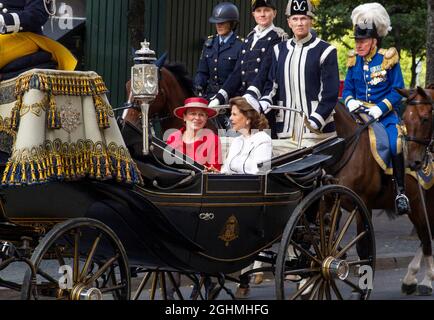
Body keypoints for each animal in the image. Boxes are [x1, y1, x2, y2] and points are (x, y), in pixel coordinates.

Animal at [330, 102, 432, 296]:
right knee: (425, 235)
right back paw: (412, 279)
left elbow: (363, 248)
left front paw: (361, 289)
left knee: (426, 236)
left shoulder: (362, 205)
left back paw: (426, 281)